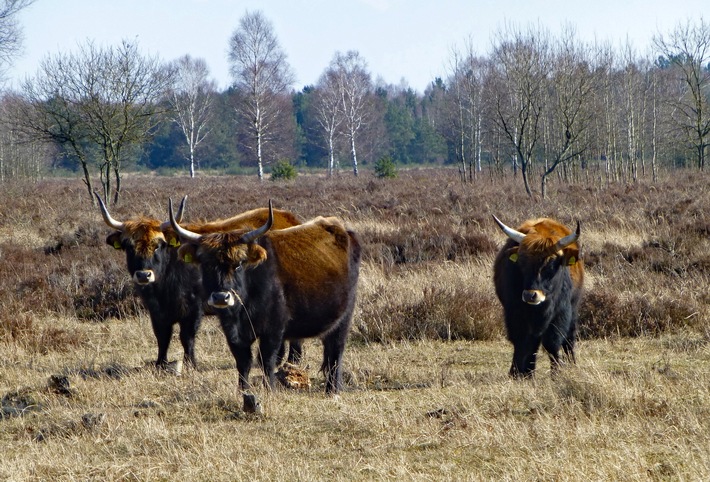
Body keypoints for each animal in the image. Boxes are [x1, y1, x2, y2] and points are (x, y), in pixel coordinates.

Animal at [171, 199, 362, 396]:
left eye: (239, 264)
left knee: (336, 351)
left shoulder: (273, 330)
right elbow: (243, 361)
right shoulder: (232, 331)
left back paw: (333, 388)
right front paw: (243, 389)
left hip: (343, 319)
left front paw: (269, 388)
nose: (221, 297)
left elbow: (267, 359)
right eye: (207, 264)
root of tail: (342, 230)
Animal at [492, 217, 588, 378]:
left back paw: (572, 364)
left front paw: (556, 373)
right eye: (522, 261)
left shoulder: (560, 314)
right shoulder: (514, 313)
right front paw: (518, 373)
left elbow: (552, 343)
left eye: (552, 262)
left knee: (569, 339)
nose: (531, 295)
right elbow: (522, 342)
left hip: (573, 310)